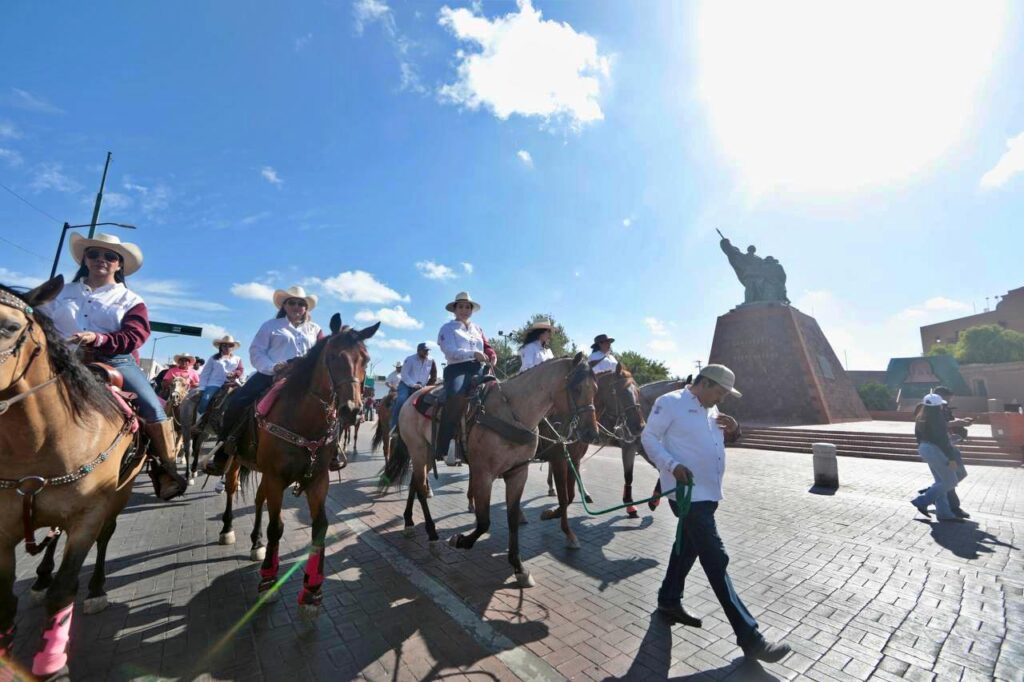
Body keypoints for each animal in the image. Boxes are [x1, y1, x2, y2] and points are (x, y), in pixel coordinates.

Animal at [0, 276, 177, 675]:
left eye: (10, 327)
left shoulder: (88, 515)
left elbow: (63, 591)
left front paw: (52, 666)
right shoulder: (1, 526)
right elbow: (5, 600)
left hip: (119, 495)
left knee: (105, 537)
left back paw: (96, 589)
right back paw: (41, 577)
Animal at [218, 315, 378, 614]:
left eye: (365, 358)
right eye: (333, 356)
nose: (352, 410)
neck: (304, 420)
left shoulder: (318, 480)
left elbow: (320, 526)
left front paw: (312, 589)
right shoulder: (275, 478)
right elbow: (276, 527)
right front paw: (268, 581)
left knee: (258, 499)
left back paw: (256, 543)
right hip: (236, 460)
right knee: (232, 489)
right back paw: (227, 530)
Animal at [385, 352, 598, 585]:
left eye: (596, 389)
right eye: (576, 388)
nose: (592, 433)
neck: (511, 414)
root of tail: (410, 399)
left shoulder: (518, 473)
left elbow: (512, 517)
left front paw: (518, 566)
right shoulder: (484, 474)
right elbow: (484, 521)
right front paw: (460, 540)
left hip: (424, 454)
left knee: (415, 484)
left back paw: (408, 522)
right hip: (418, 450)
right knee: (422, 488)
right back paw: (431, 534)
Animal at [540, 360, 643, 548]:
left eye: (638, 391)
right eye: (623, 392)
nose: (640, 426)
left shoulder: (574, 459)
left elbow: (570, 495)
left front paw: (554, 513)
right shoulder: (559, 459)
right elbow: (564, 497)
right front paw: (563, 527)